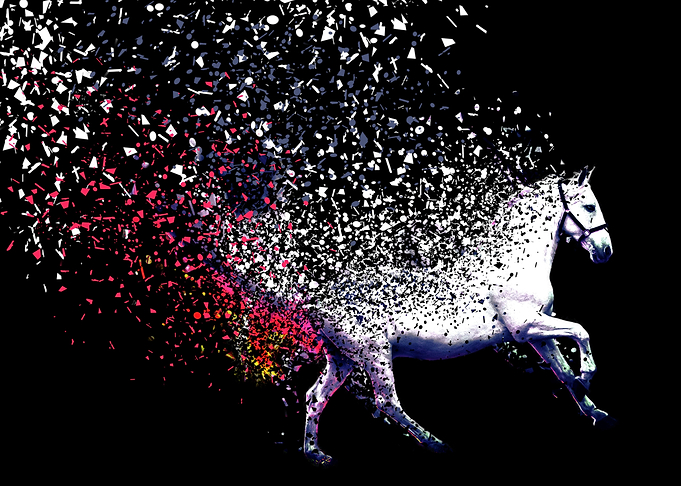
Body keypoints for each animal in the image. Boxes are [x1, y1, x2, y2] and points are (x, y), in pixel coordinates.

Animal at [303, 166, 615, 466]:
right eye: (589, 206)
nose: (605, 251)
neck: (515, 262)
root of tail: (318, 303)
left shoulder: (538, 333)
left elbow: (563, 371)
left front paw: (597, 413)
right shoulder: (526, 327)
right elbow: (581, 331)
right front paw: (586, 376)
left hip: (341, 358)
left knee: (315, 397)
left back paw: (317, 455)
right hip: (375, 357)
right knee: (387, 402)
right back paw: (437, 445)